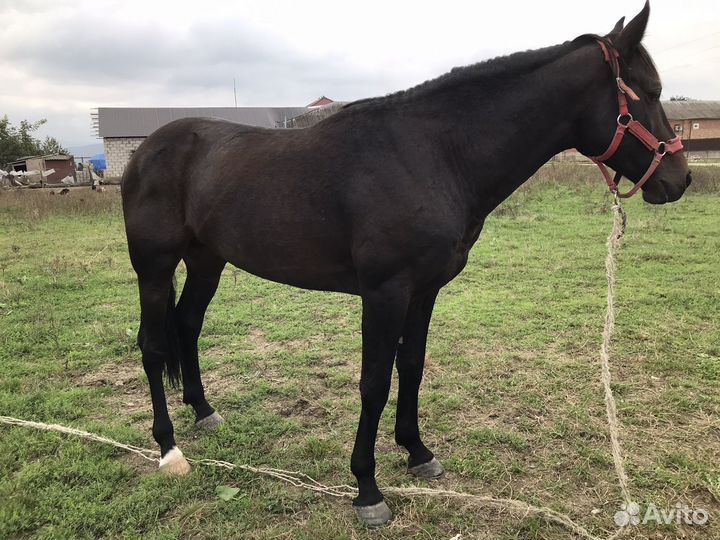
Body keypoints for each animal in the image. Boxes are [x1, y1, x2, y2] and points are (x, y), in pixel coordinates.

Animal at [121, 1, 690, 526]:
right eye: (650, 92)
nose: (679, 179)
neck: (433, 154)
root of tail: (147, 151)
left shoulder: (425, 289)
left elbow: (411, 367)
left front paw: (418, 453)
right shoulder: (385, 292)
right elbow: (374, 383)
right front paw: (367, 490)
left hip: (207, 262)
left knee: (187, 327)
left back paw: (204, 413)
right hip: (154, 267)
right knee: (153, 345)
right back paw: (169, 448)